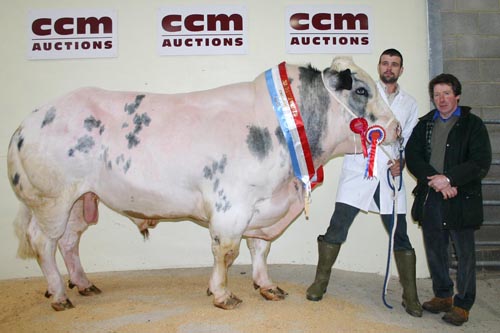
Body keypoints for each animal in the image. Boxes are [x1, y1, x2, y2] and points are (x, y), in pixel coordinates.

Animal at [6, 56, 398, 308]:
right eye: (361, 91)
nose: (395, 128)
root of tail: (29, 121)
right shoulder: (231, 206)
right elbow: (227, 251)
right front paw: (222, 294)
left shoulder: (263, 207)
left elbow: (260, 250)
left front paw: (268, 287)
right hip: (51, 199)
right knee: (43, 243)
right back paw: (59, 294)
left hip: (79, 199)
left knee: (69, 241)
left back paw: (84, 285)